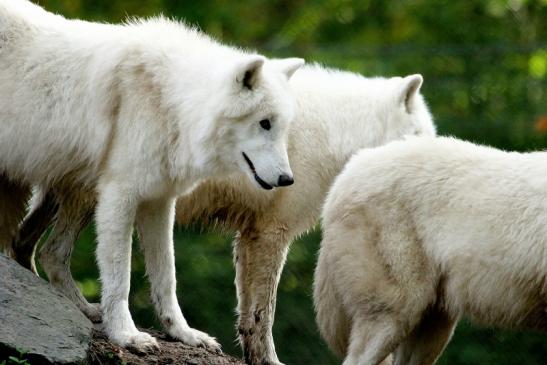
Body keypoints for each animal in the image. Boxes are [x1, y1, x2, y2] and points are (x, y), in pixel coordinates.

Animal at [0, 0, 304, 352]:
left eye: (282, 127)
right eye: (264, 123)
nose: (287, 180)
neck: (172, 102)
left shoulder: (159, 200)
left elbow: (165, 276)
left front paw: (183, 333)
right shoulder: (120, 196)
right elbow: (120, 277)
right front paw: (126, 334)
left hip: (77, 190)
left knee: (51, 252)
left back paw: (85, 310)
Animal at [4, 64, 436, 362]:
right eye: (418, 139)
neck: (336, 133)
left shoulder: (249, 236)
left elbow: (248, 315)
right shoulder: (271, 232)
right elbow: (264, 315)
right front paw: (270, 361)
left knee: (26, 243)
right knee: (50, 251)